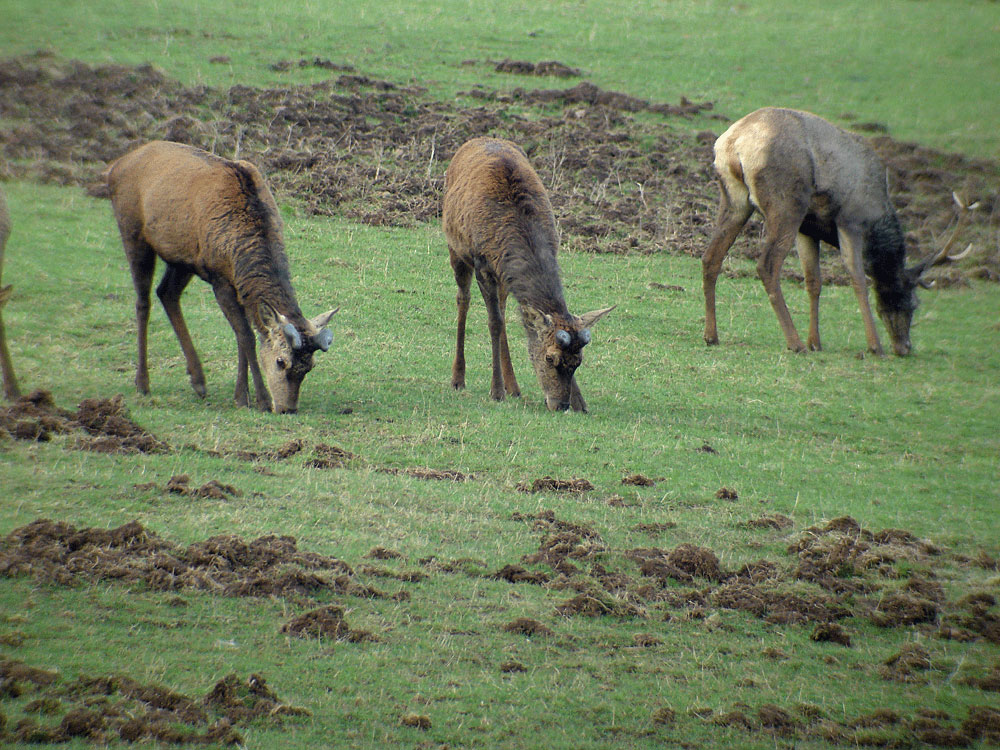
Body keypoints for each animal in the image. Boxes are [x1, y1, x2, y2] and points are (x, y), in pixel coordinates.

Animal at [105, 140, 338, 418]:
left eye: (310, 366)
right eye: (281, 361)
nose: (287, 408)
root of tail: (116, 165)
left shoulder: (235, 282)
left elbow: (241, 334)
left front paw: (241, 396)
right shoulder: (220, 279)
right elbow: (246, 335)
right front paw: (259, 399)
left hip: (183, 257)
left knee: (167, 293)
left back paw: (198, 380)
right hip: (132, 230)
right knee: (143, 302)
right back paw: (142, 383)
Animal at [442, 138, 612, 414]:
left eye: (578, 361)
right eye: (549, 357)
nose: (561, 404)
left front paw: (581, 402)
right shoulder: (482, 264)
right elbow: (494, 323)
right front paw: (496, 391)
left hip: (501, 277)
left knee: (502, 307)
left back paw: (514, 386)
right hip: (456, 249)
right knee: (463, 299)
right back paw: (458, 378)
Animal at [700, 106, 972, 358]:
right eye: (913, 302)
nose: (904, 347)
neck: (877, 213)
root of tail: (734, 143)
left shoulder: (808, 230)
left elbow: (814, 281)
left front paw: (816, 342)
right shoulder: (850, 221)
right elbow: (858, 278)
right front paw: (875, 346)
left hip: (735, 199)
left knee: (711, 257)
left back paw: (712, 335)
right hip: (787, 203)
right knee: (767, 265)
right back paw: (794, 343)